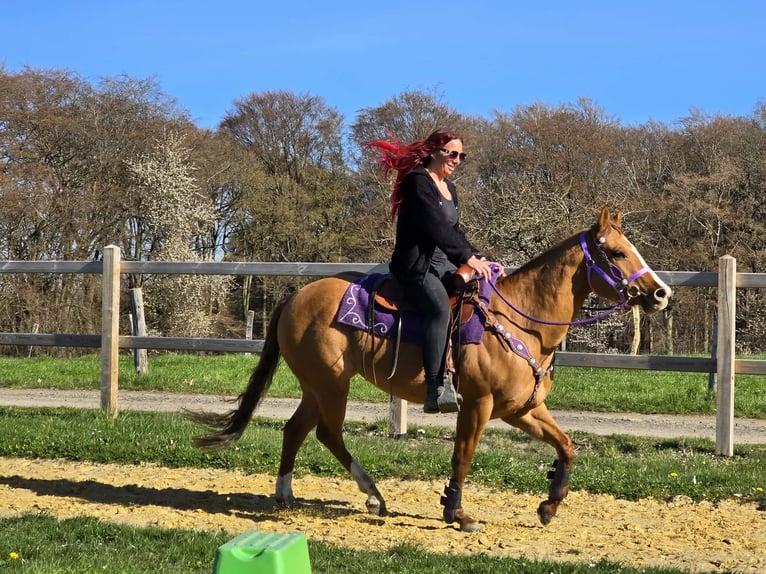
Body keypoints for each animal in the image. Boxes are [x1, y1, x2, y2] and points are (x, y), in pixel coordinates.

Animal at [187, 205, 672, 532]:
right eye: (617, 253)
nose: (661, 292)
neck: (524, 323)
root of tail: (295, 297)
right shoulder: (476, 406)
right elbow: (462, 457)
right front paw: (457, 513)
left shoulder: (523, 410)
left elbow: (567, 446)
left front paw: (549, 506)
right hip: (331, 385)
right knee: (327, 432)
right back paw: (373, 495)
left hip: (317, 385)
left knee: (296, 429)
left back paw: (289, 494)